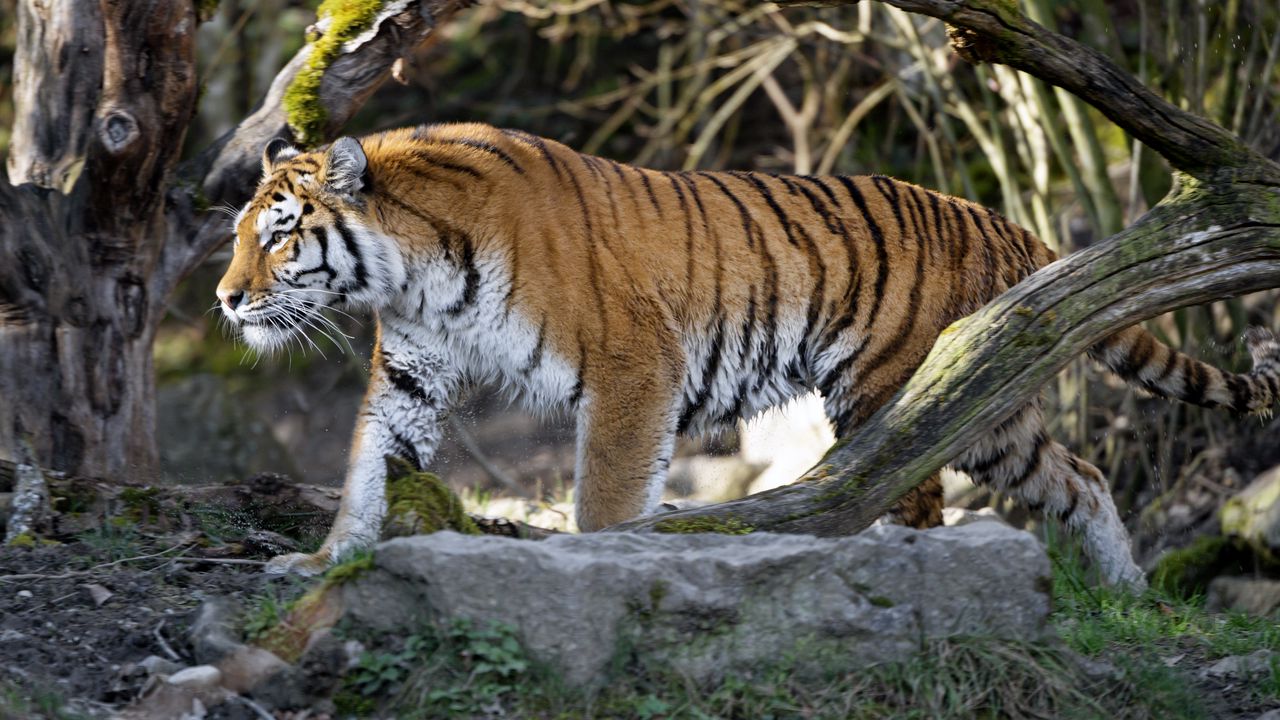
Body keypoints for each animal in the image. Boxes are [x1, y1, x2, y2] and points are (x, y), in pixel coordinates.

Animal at [215, 123, 1280, 586]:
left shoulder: (633, 365)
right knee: (1085, 478)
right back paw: (1126, 591)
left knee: (916, 502)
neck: (413, 269)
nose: (225, 298)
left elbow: (606, 498)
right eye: (235, 235)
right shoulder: (412, 370)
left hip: (901, 396)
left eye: (279, 233)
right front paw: (323, 563)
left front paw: (600, 572)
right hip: (990, 408)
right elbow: (367, 468)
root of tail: (999, 219)